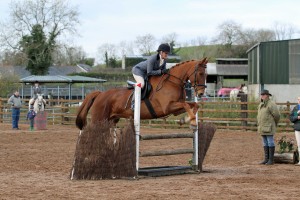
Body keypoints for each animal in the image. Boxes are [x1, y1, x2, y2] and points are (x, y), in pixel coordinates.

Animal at [75, 57, 209, 130]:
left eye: (206, 74)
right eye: (200, 73)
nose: (201, 93)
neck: (173, 82)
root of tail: (100, 94)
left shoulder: (176, 108)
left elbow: (194, 105)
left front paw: (184, 120)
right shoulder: (167, 107)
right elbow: (187, 105)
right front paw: (192, 121)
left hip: (111, 120)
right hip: (98, 119)